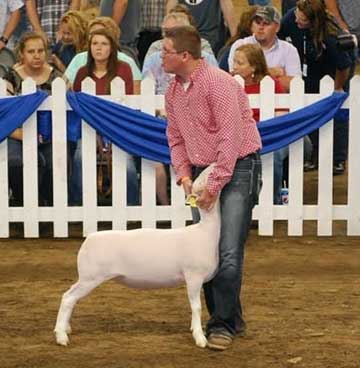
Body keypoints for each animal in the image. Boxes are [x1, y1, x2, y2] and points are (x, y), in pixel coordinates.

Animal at [54, 164, 221, 348]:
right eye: (206, 176)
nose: (215, 164)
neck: (205, 231)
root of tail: (88, 239)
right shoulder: (193, 276)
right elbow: (196, 307)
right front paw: (200, 338)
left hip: (87, 277)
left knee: (71, 298)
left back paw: (66, 328)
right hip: (90, 277)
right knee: (68, 298)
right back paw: (61, 336)